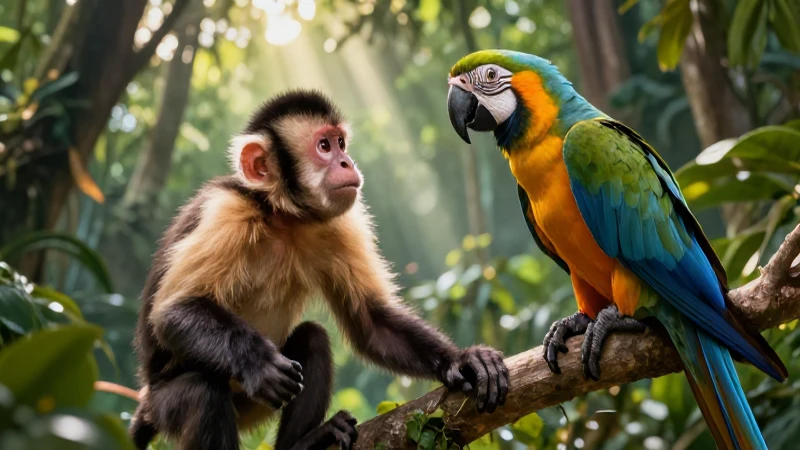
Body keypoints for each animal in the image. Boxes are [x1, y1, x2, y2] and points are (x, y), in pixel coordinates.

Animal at [129, 90, 510, 450]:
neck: (281, 217)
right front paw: (258, 362)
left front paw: (461, 360)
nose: (347, 161)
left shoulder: (334, 225)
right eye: (324, 146)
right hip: (167, 406)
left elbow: (371, 322)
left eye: (341, 143)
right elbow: (172, 312)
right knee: (201, 393)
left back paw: (301, 443)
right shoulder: (228, 212)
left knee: (312, 338)